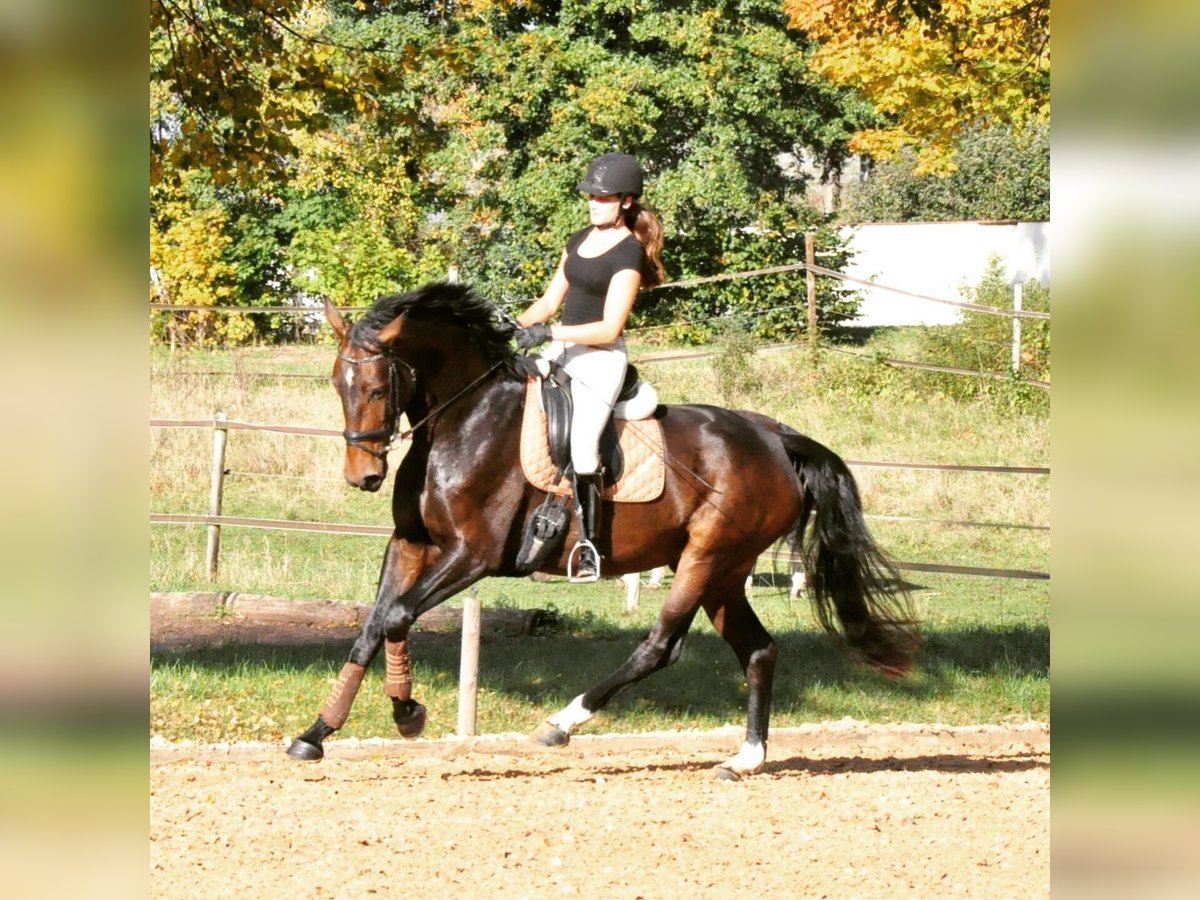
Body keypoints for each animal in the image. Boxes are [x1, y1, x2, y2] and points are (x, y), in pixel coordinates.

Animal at [288, 283, 916, 782]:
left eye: (376, 388)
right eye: (337, 384)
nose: (363, 476)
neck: (464, 419)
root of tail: (776, 437)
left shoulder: (473, 554)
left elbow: (396, 616)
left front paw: (407, 714)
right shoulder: (411, 544)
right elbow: (373, 625)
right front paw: (317, 733)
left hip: (705, 558)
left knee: (661, 646)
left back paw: (561, 724)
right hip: (722, 571)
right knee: (759, 650)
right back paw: (744, 759)